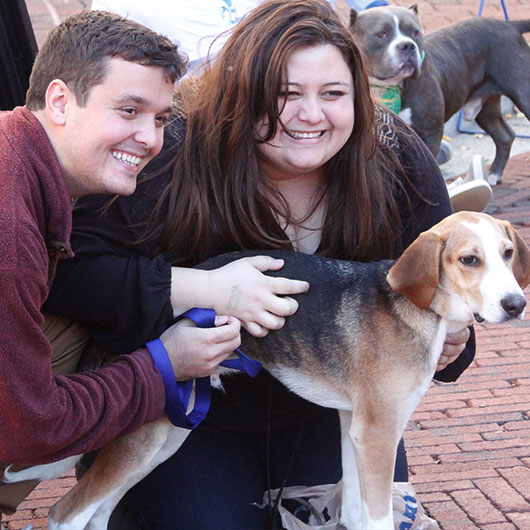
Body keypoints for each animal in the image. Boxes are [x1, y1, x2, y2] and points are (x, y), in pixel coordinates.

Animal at [350, 4, 528, 184]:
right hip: (486, 108)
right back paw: (494, 174)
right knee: (504, 135)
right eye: (381, 34)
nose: (408, 46)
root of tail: (509, 25)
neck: (389, 86)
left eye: (415, 33)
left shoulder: (430, 133)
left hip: (523, 94)